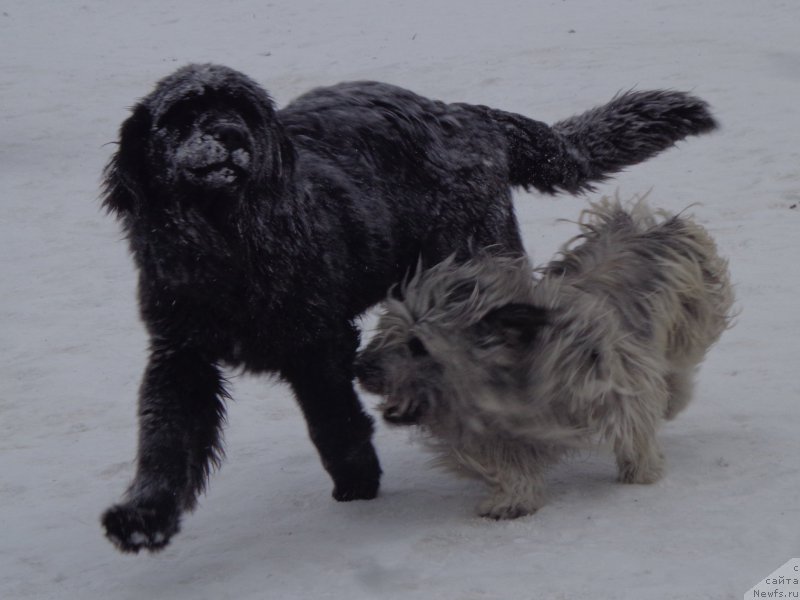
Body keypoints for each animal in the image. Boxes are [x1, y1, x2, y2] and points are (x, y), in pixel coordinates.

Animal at [360, 199, 736, 516]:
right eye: (383, 331)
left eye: (417, 344)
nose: (360, 367)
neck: (510, 383)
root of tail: (641, 226)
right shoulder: (492, 434)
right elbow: (507, 465)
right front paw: (512, 498)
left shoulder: (613, 378)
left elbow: (633, 424)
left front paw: (641, 471)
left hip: (688, 315)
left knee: (679, 367)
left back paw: (673, 397)